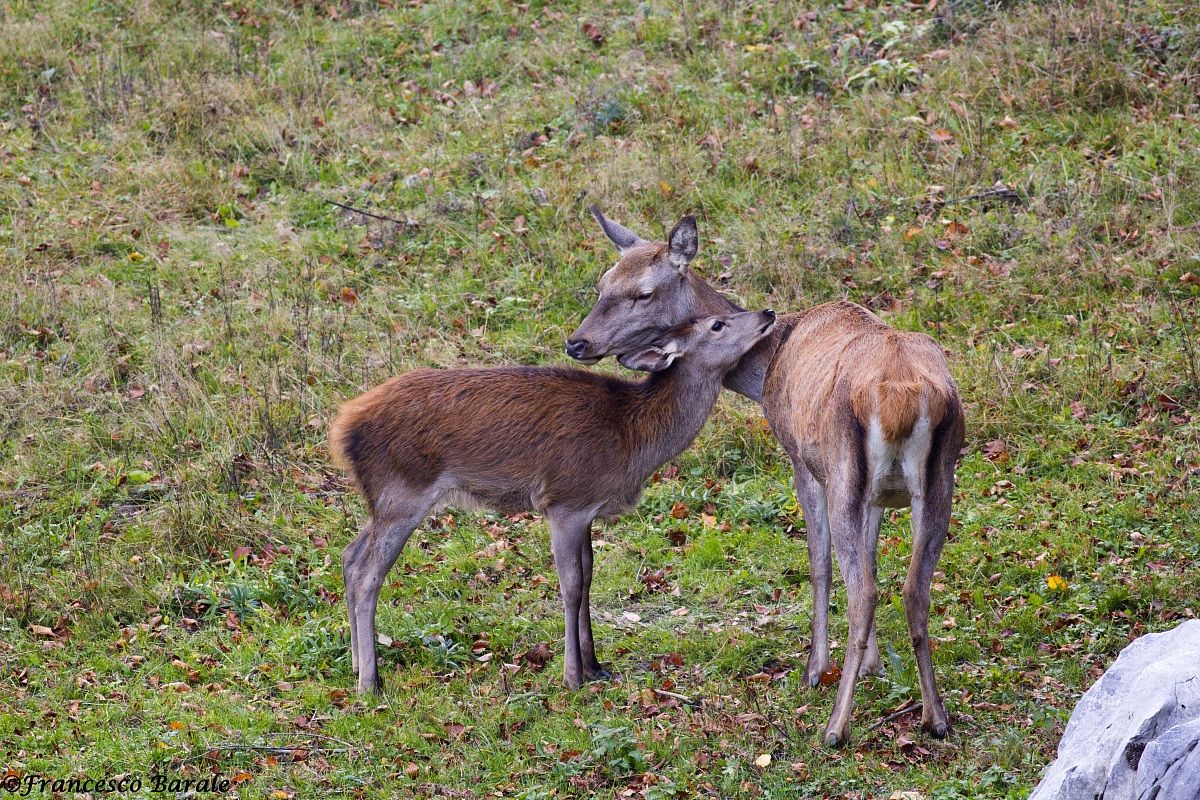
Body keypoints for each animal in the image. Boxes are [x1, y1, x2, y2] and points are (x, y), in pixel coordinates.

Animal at [329, 308, 777, 696]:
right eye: (717, 324)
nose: (768, 313)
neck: (633, 440)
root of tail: (342, 427)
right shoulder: (565, 501)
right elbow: (572, 585)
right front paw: (572, 676)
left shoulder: (587, 509)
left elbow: (589, 576)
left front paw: (596, 666)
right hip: (403, 491)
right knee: (369, 576)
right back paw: (369, 682)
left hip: (384, 499)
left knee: (350, 556)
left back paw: (354, 662)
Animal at [567, 207, 965, 747]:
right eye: (602, 283)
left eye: (642, 293)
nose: (577, 342)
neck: (765, 370)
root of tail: (902, 395)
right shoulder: (878, 494)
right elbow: (873, 558)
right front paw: (874, 667)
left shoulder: (803, 461)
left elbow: (819, 564)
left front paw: (816, 669)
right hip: (940, 478)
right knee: (912, 588)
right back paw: (934, 715)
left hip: (844, 469)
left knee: (861, 590)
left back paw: (835, 726)